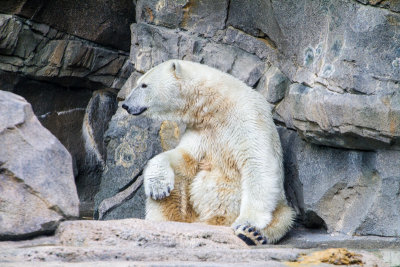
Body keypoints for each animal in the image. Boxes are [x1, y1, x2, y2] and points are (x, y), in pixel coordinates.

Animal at [123, 59, 296, 246]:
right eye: (139, 83)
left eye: (144, 85)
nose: (125, 105)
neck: (218, 106)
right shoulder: (202, 130)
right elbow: (185, 157)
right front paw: (158, 186)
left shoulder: (248, 118)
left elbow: (257, 164)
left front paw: (247, 223)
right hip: (190, 210)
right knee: (176, 190)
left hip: (281, 206)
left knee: (283, 218)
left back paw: (252, 235)